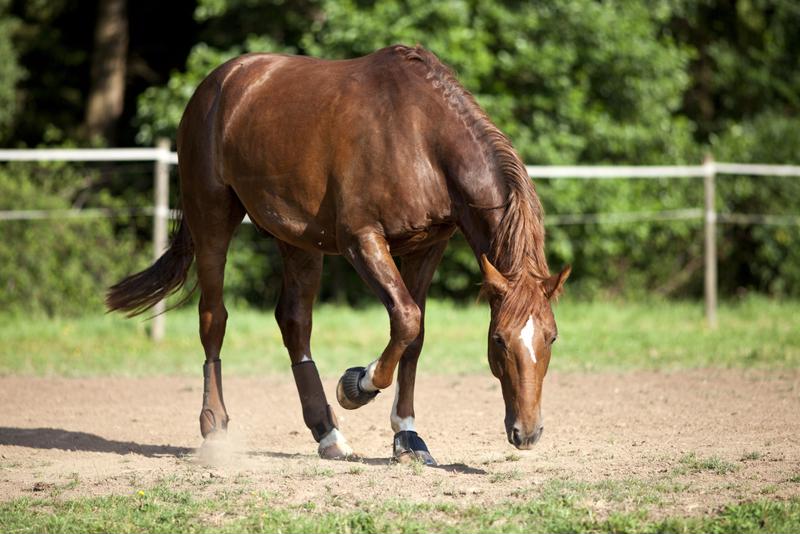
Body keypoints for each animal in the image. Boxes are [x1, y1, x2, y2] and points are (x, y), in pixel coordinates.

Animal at [106, 44, 568, 466]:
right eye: (498, 340)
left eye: (551, 337)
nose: (528, 432)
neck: (421, 136)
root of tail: (218, 82)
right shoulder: (361, 239)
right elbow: (405, 318)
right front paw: (356, 385)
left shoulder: (427, 246)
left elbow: (415, 335)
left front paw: (408, 438)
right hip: (212, 219)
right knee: (213, 318)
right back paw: (216, 430)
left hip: (296, 240)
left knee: (294, 323)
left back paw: (327, 433)